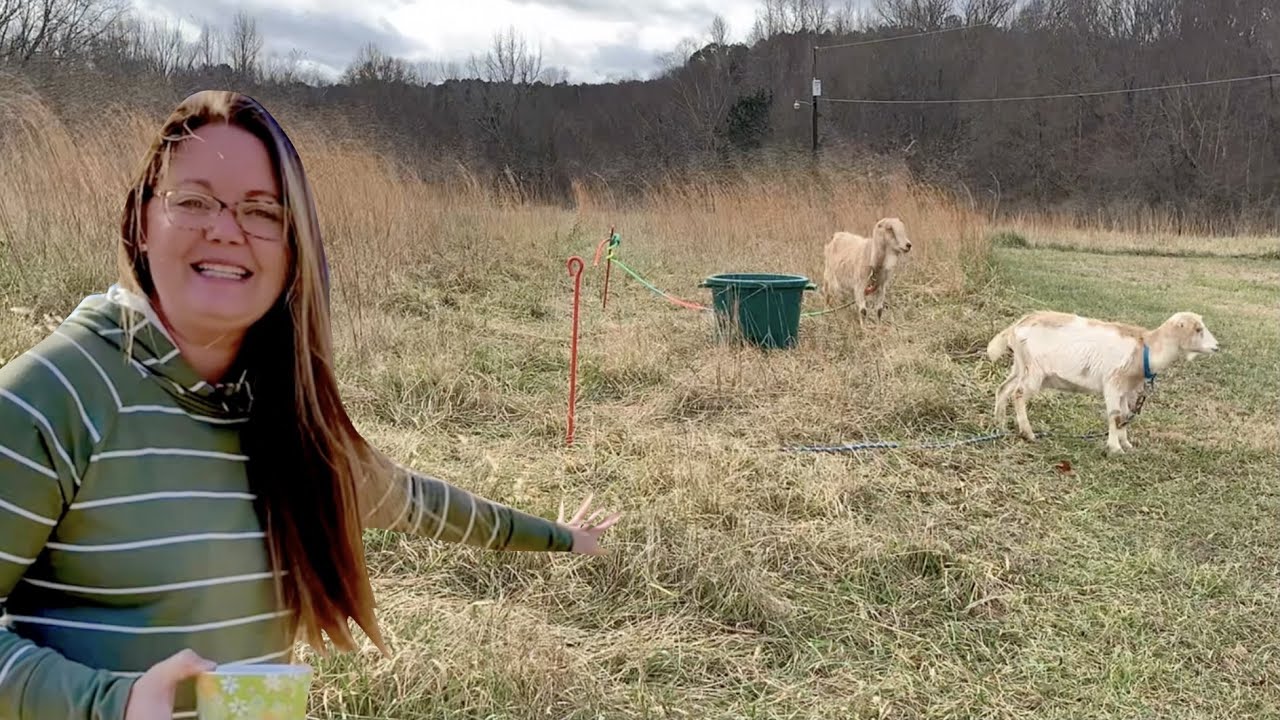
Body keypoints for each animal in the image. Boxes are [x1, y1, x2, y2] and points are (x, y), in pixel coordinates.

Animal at [986, 310, 1220, 454]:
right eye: (1198, 329)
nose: (1217, 346)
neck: (1145, 348)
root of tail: (1018, 325)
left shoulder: (1125, 390)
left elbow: (1125, 415)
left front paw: (1127, 444)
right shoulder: (1113, 384)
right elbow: (1115, 416)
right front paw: (1115, 448)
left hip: (1020, 366)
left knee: (1003, 389)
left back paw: (1000, 424)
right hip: (1034, 371)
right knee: (1018, 394)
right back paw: (1028, 433)